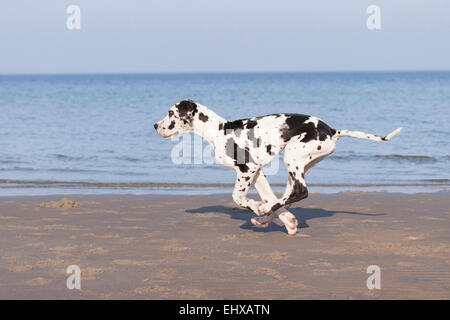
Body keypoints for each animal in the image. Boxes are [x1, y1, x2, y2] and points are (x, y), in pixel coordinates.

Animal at [155, 100, 400, 235]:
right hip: (301, 165)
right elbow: (269, 195)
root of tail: (332, 130)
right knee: (290, 194)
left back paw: (263, 213)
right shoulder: (257, 172)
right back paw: (267, 218)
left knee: (301, 192)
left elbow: (238, 197)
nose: (155, 125)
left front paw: (257, 207)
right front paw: (284, 219)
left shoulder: (247, 169)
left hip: (292, 158)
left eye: (170, 113)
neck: (219, 131)